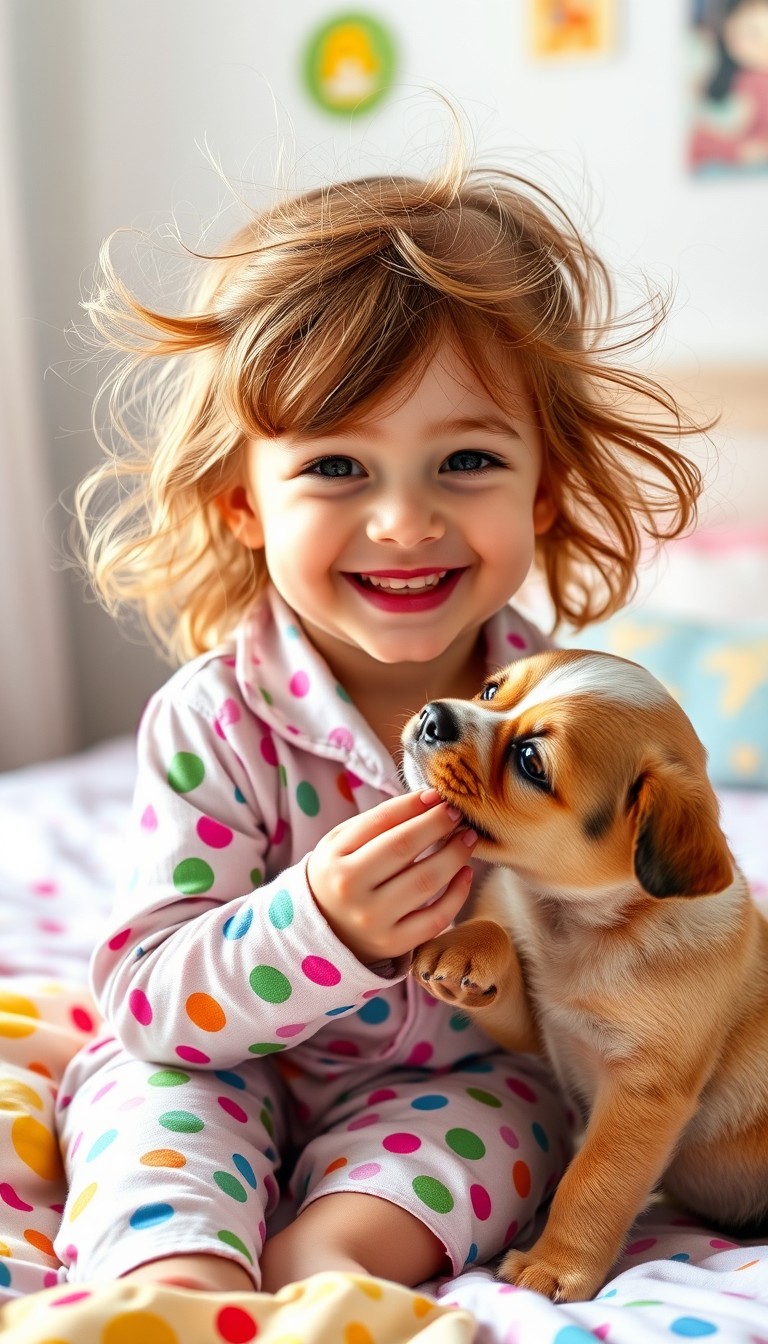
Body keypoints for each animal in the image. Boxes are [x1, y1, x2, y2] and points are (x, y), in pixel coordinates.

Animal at [403, 650, 768, 1300]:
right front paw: (465, 950)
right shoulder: (536, 1024)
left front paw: (554, 1266)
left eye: (530, 761)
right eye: (491, 690)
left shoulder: (643, 1092)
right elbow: (500, 938)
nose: (432, 716)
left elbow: (592, 1183)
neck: (575, 929)